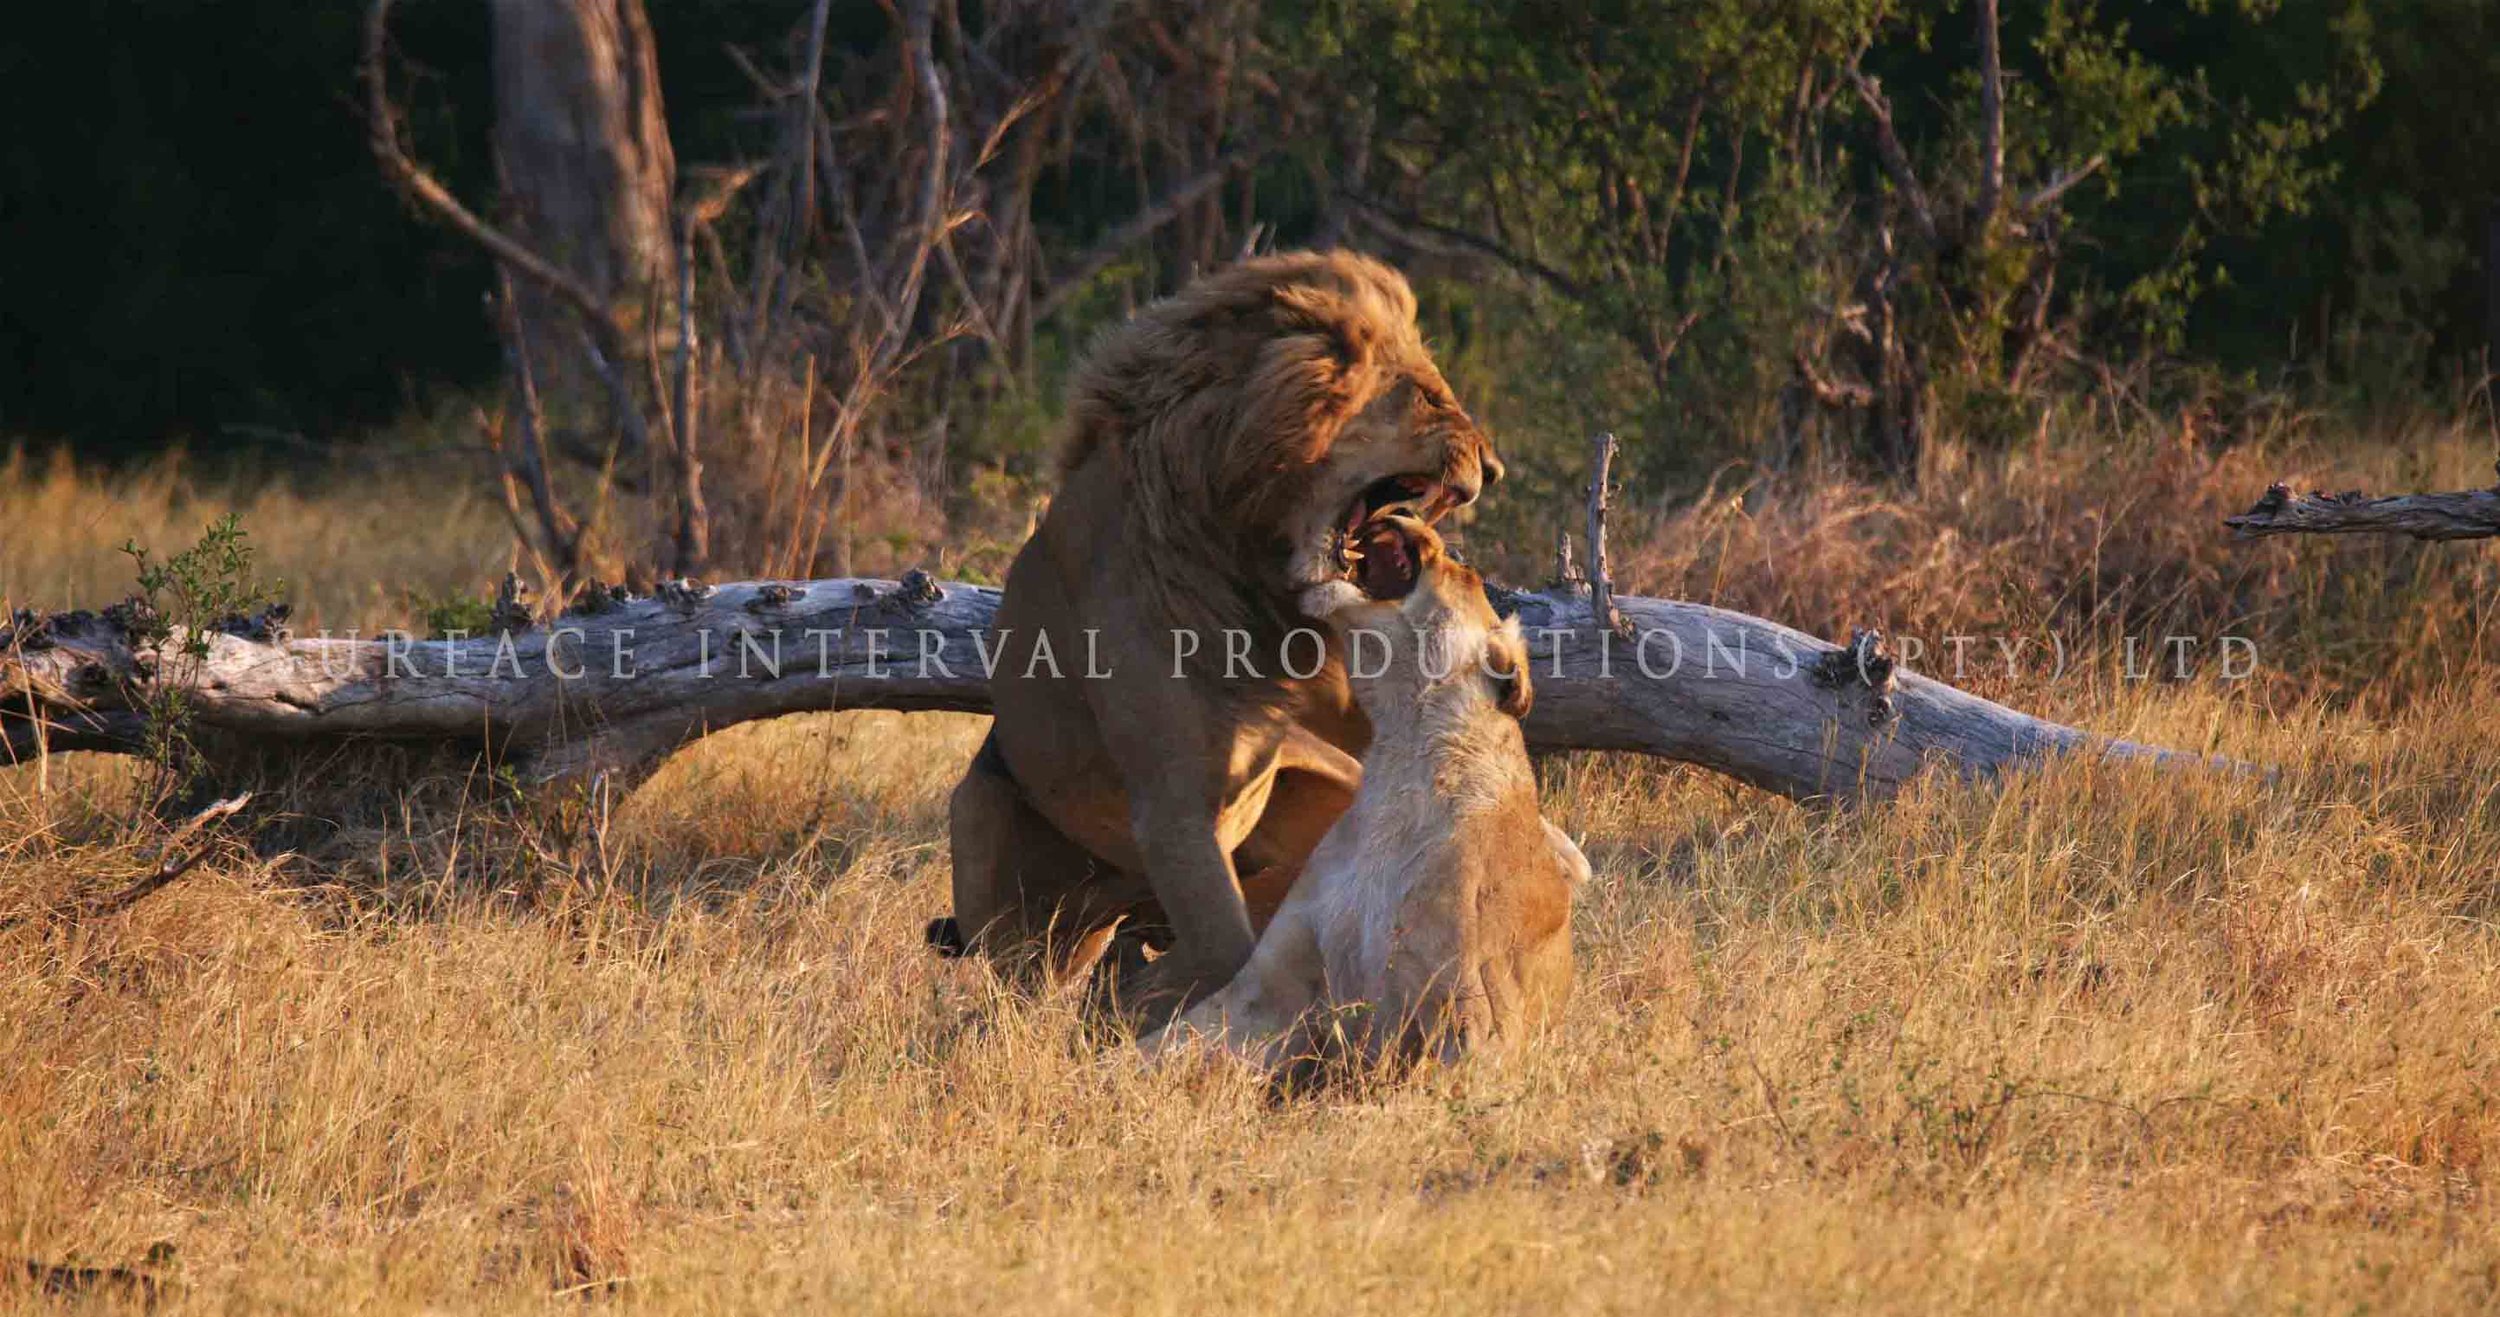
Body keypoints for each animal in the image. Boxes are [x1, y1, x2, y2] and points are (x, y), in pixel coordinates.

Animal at [935, 252, 1505, 1014]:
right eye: (1427, 397)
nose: (1493, 469)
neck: (1244, 555)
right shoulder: (1172, 801)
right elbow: (1226, 950)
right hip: (984, 833)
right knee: (1027, 972)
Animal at [1138, 511, 1587, 1071]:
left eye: (1464, 565)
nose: (1404, 512)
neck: (1405, 749)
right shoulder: (1268, 987)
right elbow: (1155, 1049)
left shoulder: (1480, 1015)